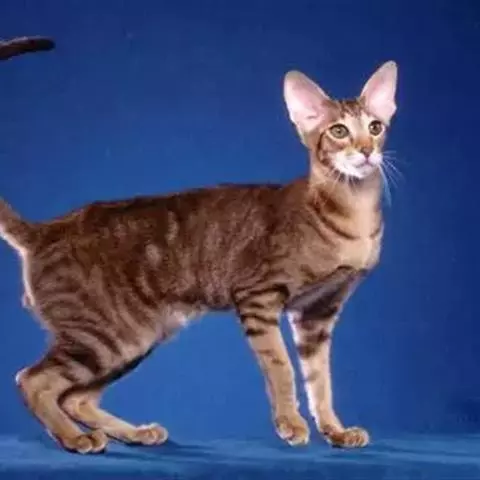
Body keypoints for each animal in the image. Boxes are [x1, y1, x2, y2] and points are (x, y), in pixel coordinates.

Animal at [0, 60, 398, 454]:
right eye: (339, 131)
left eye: (375, 127)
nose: (366, 150)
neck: (354, 213)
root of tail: (45, 229)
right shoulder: (258, 297)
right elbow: (281, 367)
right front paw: (290, 423)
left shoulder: (318, 313)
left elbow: (321, 382)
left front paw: (335, 430)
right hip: (105, 335)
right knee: (33, 380)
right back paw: (74, 438)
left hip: (132, 338)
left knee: (76, 398)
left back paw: (133, 434)